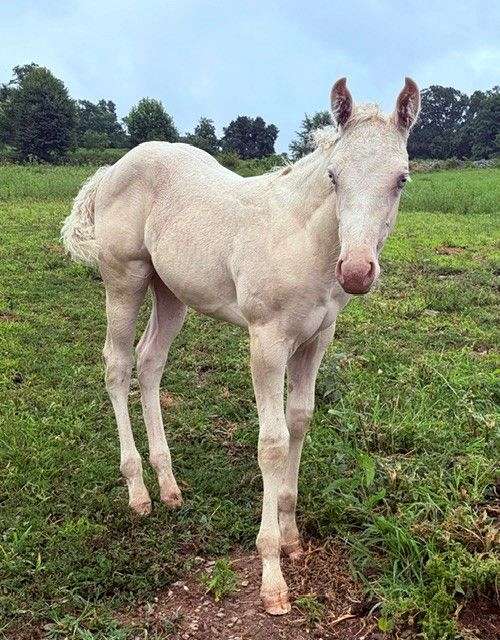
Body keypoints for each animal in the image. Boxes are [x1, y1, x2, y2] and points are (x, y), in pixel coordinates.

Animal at [62, 77, 420, 615]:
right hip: (124, 280)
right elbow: (271, 442)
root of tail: (112, 169)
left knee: (149, 363)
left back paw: (168, 485)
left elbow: (299, 422)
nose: (356, 271)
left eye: (400, 179)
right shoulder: (267, 340)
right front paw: (272, 574)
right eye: (334, 177)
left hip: (171, 293)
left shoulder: (316, 339)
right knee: (118, 365)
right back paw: (138, 491)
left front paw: (291, 537)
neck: (303, 240)